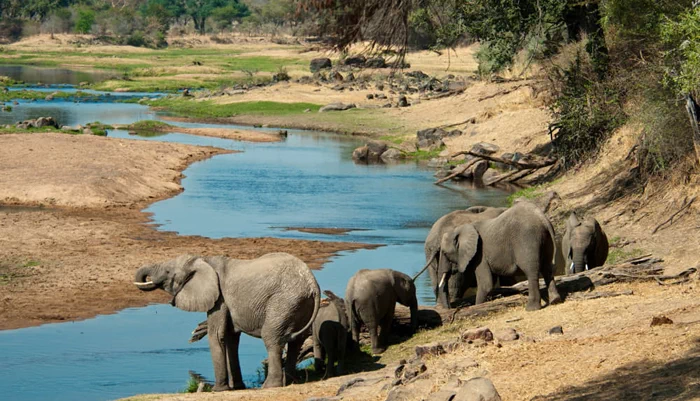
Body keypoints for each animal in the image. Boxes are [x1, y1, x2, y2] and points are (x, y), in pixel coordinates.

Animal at [133, 253, 322, 390]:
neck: (203, 260)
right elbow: (231, 338)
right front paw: (237, 387)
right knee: (296, 342)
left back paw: (269, 386)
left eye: (167, 272)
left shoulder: (219, 298)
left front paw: (218, 390)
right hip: (299, 305)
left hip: (283, 302)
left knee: (272, 339)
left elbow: (217, 335)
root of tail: (312, 283)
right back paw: (290, 382)